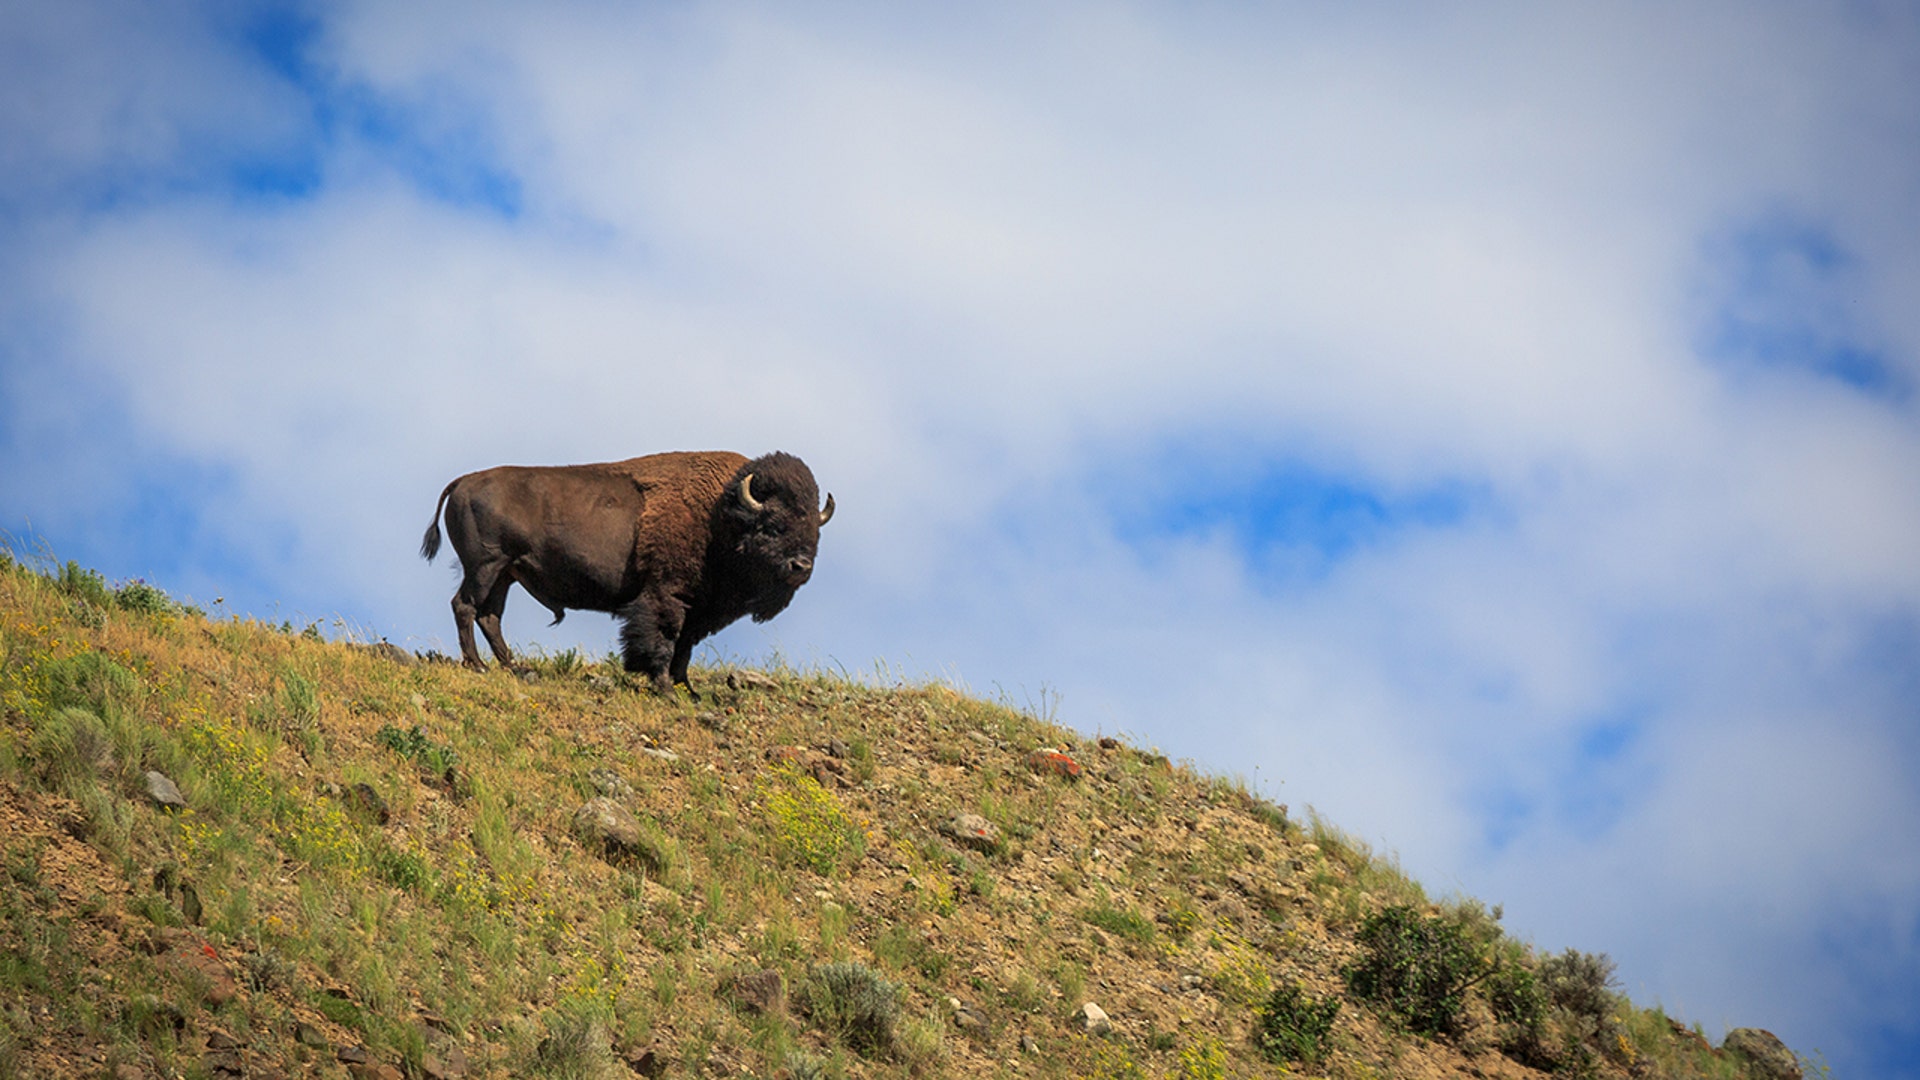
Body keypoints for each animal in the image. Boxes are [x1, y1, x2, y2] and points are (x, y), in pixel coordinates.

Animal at [420, 447, 833, 691]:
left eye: (814, 533)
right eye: (773, 526)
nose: (801, 565)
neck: (721, 515)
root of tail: (463, 481)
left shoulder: (698, 609)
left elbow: (685, 646)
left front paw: (686, 689)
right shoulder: (666, 594)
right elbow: (665, 638)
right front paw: (664, 687)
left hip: (506, 574)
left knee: (490, 616)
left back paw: (512, 666)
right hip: (485, 566)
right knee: (465, 606)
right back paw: (477, 666)